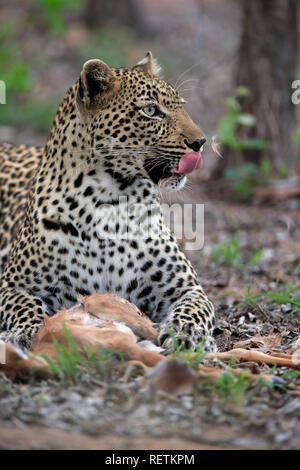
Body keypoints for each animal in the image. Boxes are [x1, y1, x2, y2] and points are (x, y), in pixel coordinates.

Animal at [0, 52, 216, 352]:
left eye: (181, 106)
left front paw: (188, 333)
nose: (200, 142)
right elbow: (24, 306)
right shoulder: (13, 285)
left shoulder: (186, 288)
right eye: (150, 110)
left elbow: (196, 309)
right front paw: (26, 331)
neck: (110, 200)